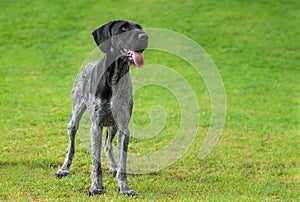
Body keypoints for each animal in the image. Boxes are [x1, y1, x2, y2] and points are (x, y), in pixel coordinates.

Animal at [55, 20, 149, 196]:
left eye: (139, 27)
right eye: (124, 28)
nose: (144, 36)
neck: (115, 76)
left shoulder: (123, 127)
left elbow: (122, 163)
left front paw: (124, 187)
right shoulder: (96, 126)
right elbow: (95, 162)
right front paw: (96, 187)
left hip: (113, 125)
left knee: (107, 145)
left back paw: (113, 167)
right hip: (74, 119)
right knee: (71, 146)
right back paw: (64, 169)